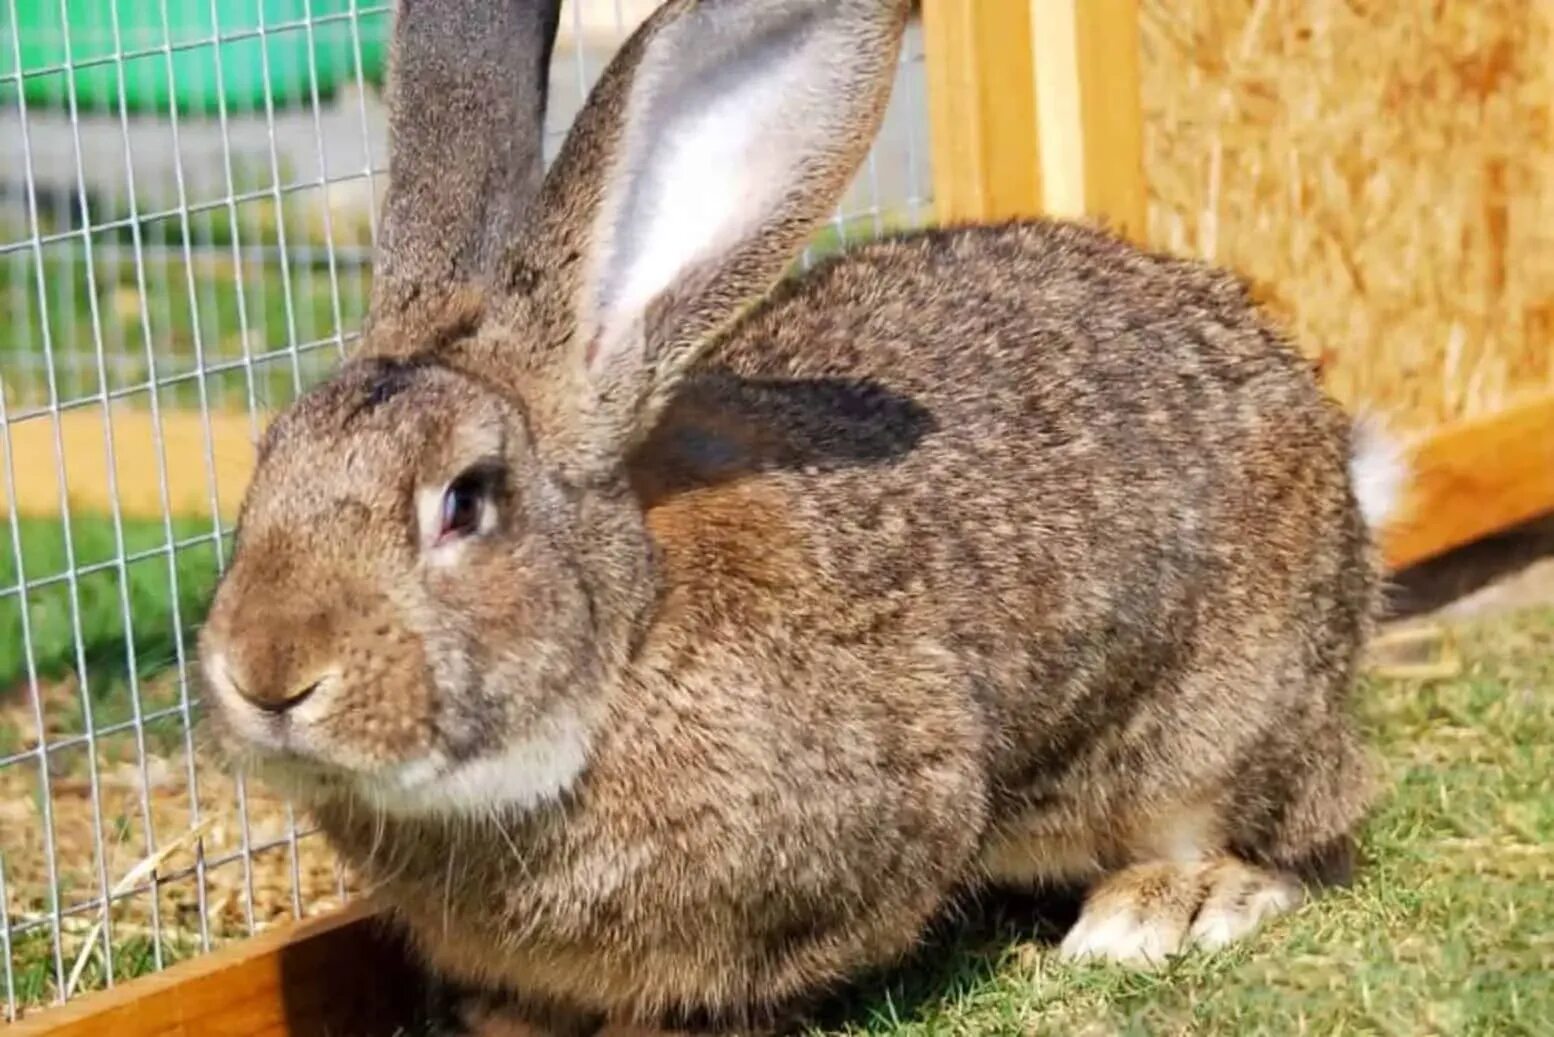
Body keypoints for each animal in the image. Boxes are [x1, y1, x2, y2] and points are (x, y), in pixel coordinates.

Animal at [197, 0, 1411, 1032]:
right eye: (267, 466)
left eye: (463, 501)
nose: (269, 673)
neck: (626, 642)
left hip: (1227, 717)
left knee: (1300, 825)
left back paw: (1163, 907)